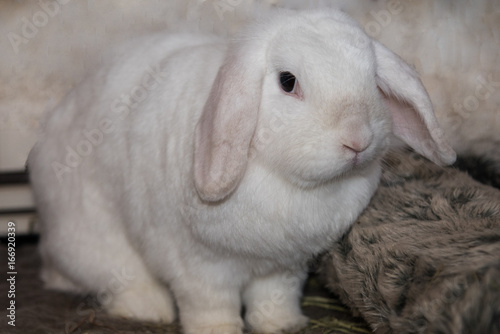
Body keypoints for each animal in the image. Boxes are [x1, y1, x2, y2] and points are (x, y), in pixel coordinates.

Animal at [28, 7, 458, 334]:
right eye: (288, 81)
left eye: (371, 78)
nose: (357, 139)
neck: (283, 177)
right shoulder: (199, 267)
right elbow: (210, 305)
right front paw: (217, 331)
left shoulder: (285, 267)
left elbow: (273, 299)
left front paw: (283, 325)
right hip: (96, 239)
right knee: (118, 279)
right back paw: (150, 309)